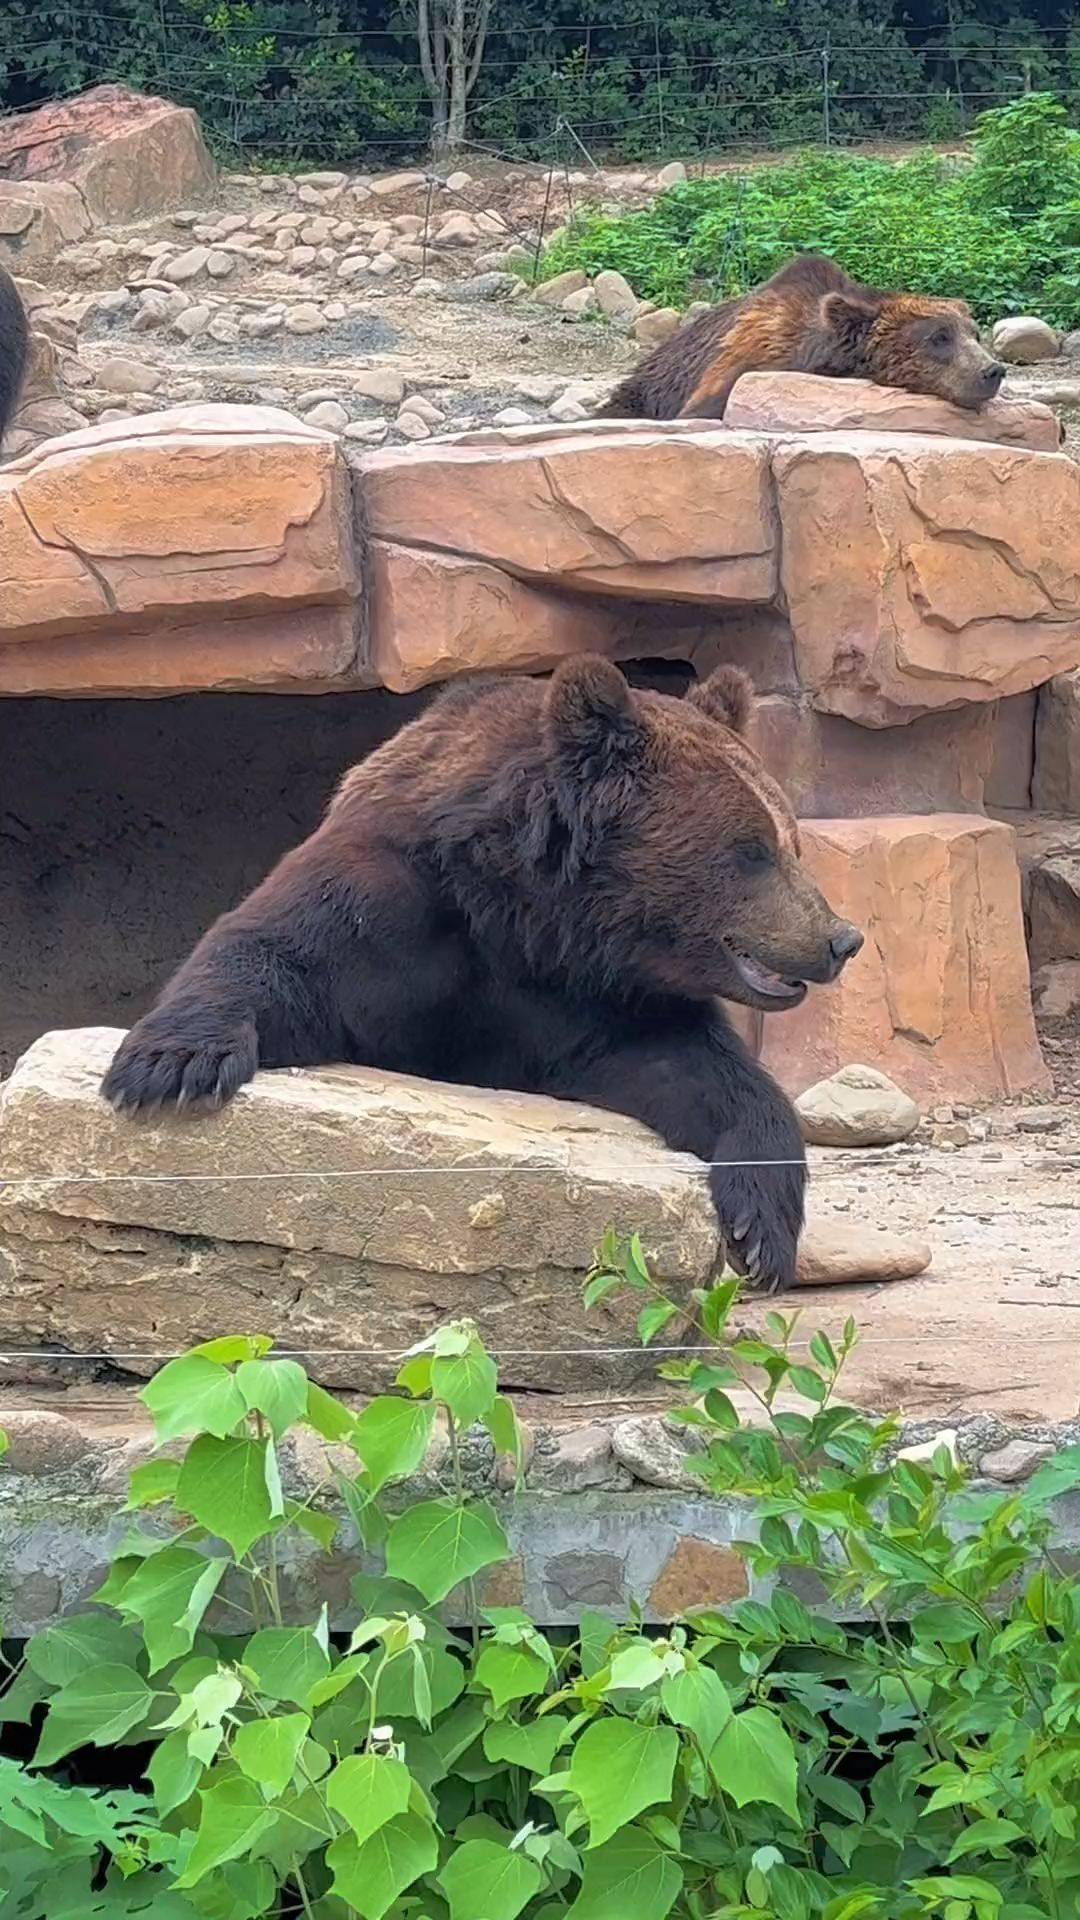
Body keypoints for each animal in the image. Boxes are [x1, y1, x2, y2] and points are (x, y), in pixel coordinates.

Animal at [98, 652, 857, 1297]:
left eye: (788, 838)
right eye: (750, 850)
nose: (840, 938)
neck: (532, 917)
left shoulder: (596, 998)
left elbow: (698, 1070)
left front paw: (761, 1230)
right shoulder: (391, 909)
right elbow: (272, 958)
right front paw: (171, 1068)